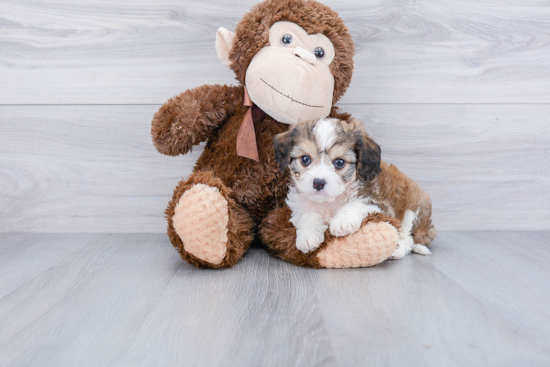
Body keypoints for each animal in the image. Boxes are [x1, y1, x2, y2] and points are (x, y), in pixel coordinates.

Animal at [274, 118, 440, 258]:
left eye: (339, 162)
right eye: (305, 159)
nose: (318, 182)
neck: (330, 201)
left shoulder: (381, 204)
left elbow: (358, 203)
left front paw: (342, 221)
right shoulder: (300, 206)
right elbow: (308, 214)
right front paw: (308, 235)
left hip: (415, 206)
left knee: (408, 237)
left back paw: (398, 250)